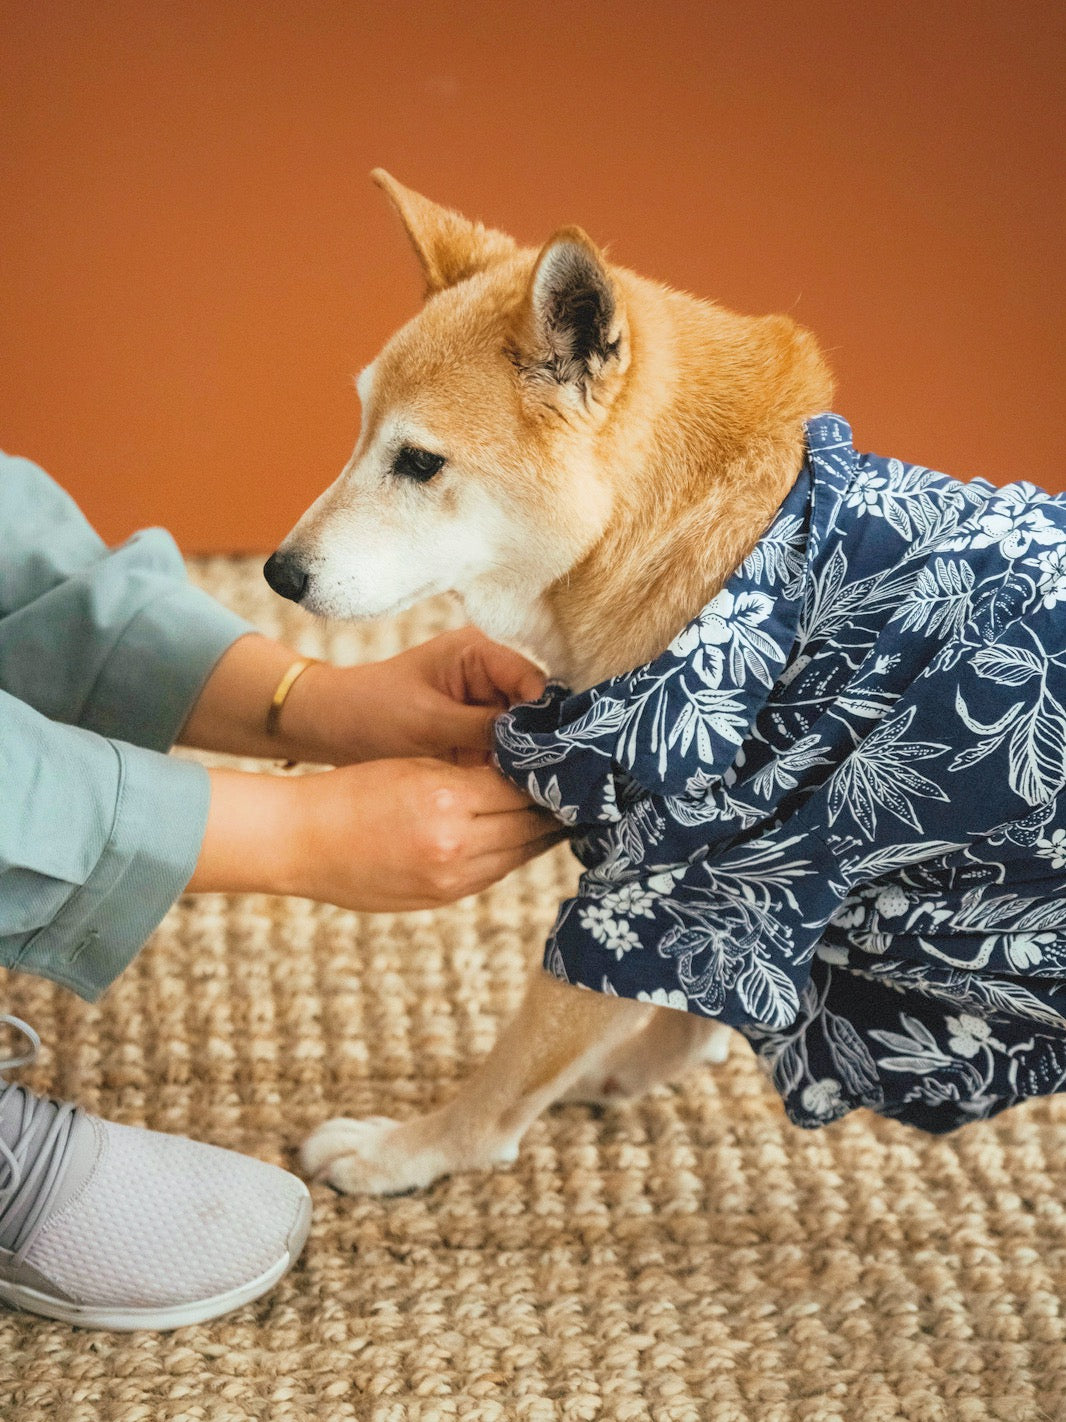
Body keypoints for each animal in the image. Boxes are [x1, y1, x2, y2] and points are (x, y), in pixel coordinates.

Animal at [272, 172, 835, 1194]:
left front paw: (405, 1150)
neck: (718, 550)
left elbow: (510, 1076)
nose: (277, 575)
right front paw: (621, 1073)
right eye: (361, 427)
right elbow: (689, 1016)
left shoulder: (667, 882)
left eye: (420, 463)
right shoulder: (724, 893)